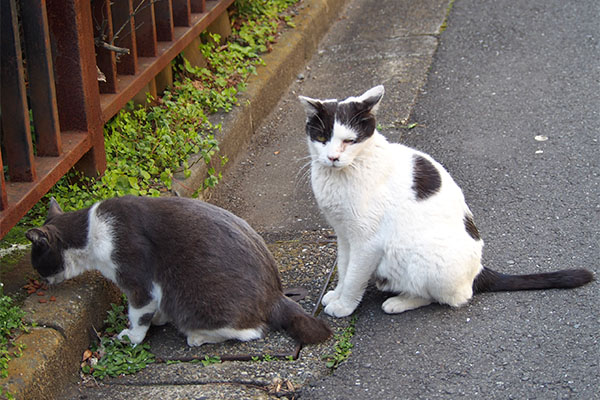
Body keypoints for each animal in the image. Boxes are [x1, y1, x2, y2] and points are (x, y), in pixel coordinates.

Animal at [25, 195, 332, 346]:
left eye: (37, 263)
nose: (42, 279)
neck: (89, 231)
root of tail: (276, 294)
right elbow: (153, 308)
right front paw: (158, 319)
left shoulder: (137, 279)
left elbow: (138, 313)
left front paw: (132, 337)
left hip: (194, 297)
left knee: (252, 331)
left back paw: (197, 337)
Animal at [300, 86, 596, 318]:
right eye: (322, 137)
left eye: (350, 141)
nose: (333, 158)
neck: (341, 176)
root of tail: (478, 270)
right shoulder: (344, 234)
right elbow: (344, 268)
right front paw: (336, 295)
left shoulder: (366, 242)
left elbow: (354, 277)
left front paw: (344, 306)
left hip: (417, 255)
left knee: (451, 297)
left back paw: (400, 302)